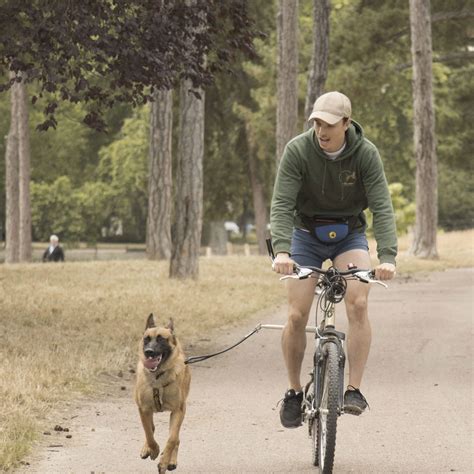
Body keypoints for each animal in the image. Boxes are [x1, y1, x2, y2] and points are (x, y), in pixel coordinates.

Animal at [133, 312, 191, 472]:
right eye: (146, 339)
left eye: (161, 339)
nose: (149, 352)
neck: (158, 377)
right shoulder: (143, 409)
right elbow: (148, 432)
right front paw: (153, 449)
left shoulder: (178, 410)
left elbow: (172, 439)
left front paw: (164, 461)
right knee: (150, 429)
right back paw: (147, 448)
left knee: (176, 438)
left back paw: (171, 460)